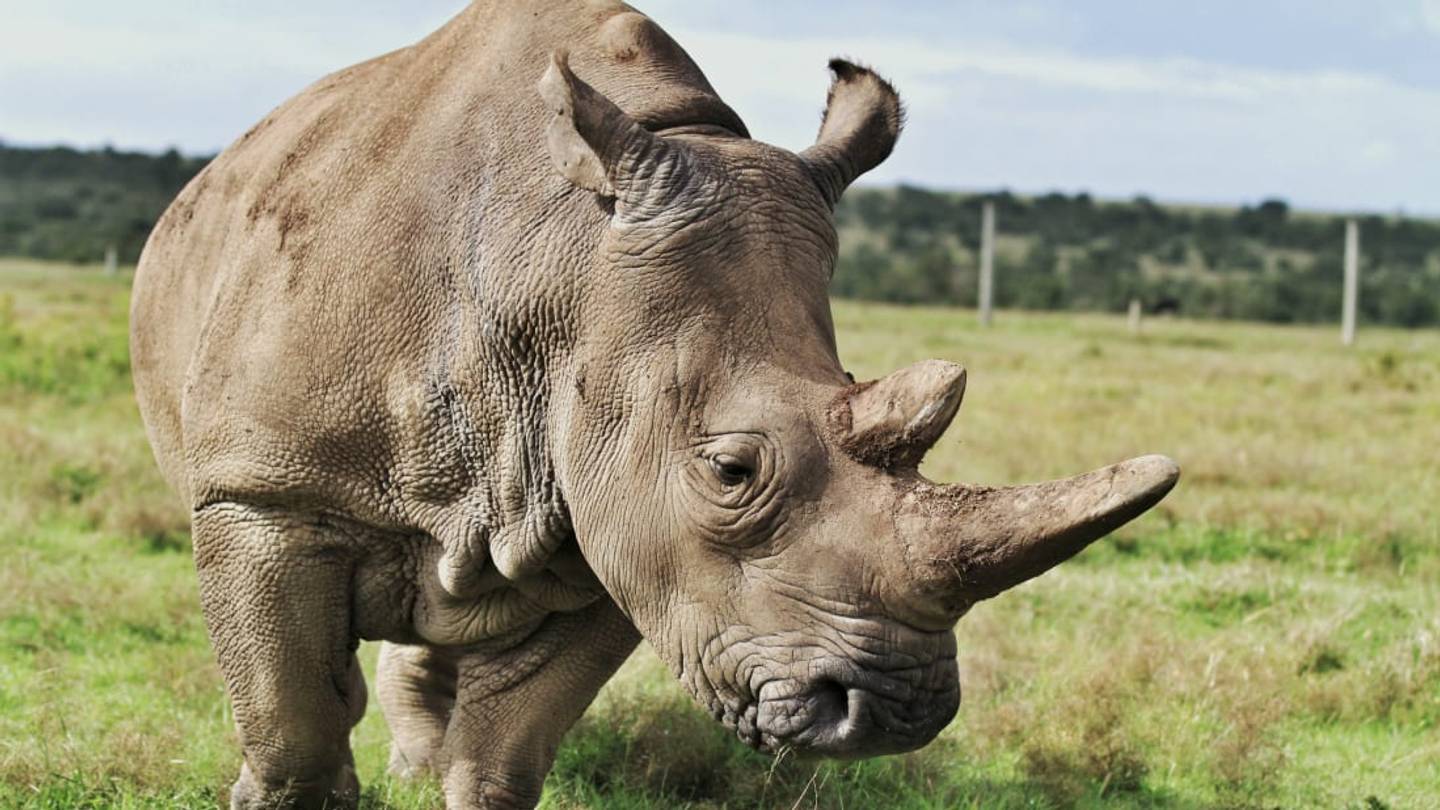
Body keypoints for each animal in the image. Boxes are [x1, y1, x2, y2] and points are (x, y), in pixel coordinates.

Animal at [130, 1, 1179, 807]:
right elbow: (293, 732)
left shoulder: (614, 530)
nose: (896, 710)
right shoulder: (265, 493)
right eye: (731, 470)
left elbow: (504, 756)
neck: (558, 267)